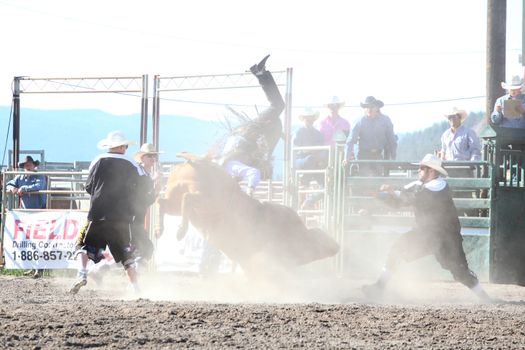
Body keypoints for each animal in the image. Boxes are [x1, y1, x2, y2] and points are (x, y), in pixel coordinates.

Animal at [156, 151, 338, 274]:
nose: (336, 245)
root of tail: (198, 161)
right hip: (206, 201)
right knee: (187, 198)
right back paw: (180, 231)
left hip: (175, 198)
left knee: (163, 202)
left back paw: (160, 229)